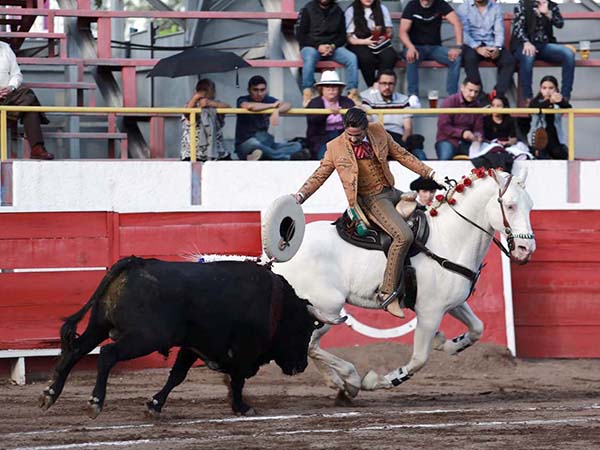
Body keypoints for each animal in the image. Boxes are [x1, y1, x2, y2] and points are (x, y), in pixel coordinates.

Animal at [39, 256, 344, 418]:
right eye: (304, 328)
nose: (300, 366)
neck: (277, 305)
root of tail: (134, 263)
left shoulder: (192, 347)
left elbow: (177, 376)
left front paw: (154, 405)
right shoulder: (242, 352)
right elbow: (238, 380)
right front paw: (242, 407)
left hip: (99, 326)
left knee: (75, 351)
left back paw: (49, 395)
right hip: (143, 338)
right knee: (107, 354)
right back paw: (95, 402)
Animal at [272, 169, 536, 404]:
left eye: (530, 205)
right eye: (510, 206)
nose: (526, 249)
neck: (449, 238)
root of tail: (281, 252)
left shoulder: (452, 304)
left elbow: (477, 329)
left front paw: (447, 343)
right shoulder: (430, 313)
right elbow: (419, 358)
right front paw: (379, 380)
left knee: (310, 345)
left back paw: (340, 384)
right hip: (328, 308)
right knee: (309, 343)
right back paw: (352, 379)